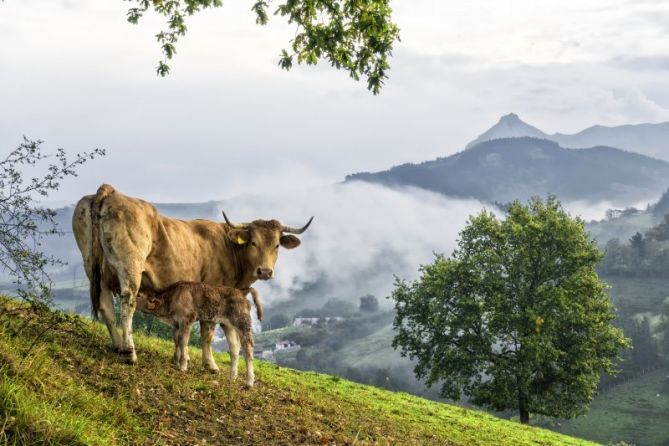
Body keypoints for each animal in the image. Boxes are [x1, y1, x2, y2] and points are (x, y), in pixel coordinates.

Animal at [72, 184, 312, 366]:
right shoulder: (212, 293)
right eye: (253, 242)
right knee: (126, 305)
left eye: (277, 245)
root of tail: (111, 191)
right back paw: (129, 352)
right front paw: (210, 364)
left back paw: (117, 346)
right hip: (130, 268)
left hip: (94, 269)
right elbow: (207, 330)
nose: (265, 271)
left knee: (106, 307)